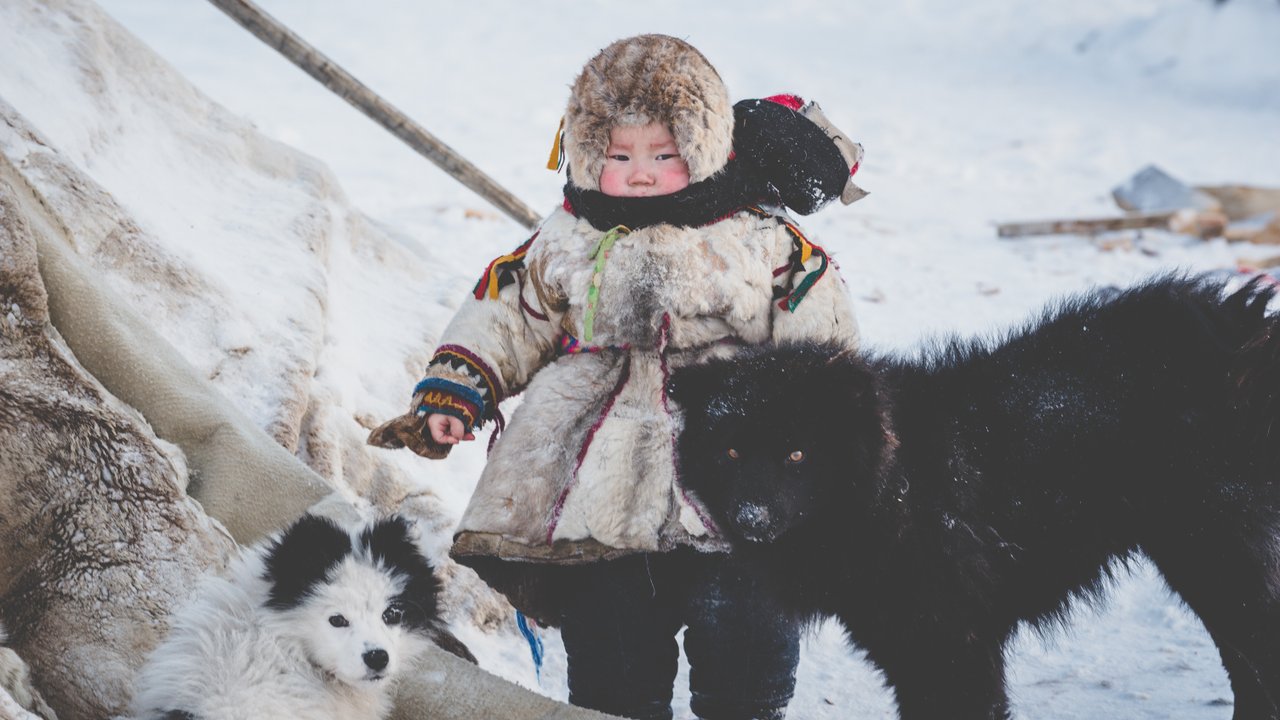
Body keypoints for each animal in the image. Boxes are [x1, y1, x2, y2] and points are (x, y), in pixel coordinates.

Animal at [670, 274, 1280, 717]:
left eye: (797, 455)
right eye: (731, 453)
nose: (751, 517)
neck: (896, 491)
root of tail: (1237, 325)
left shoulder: (952, 646)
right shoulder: (907, 645)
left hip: (1212, 556)